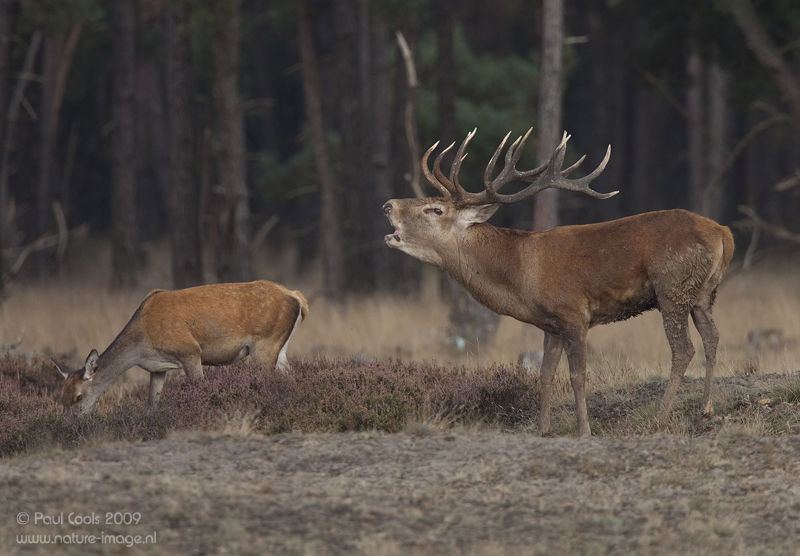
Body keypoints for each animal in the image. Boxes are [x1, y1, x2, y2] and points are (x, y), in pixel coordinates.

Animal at [50, 282, 306, 412]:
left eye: (79, 397)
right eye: (61, 396)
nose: (69, 424)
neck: (142, 344)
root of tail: (297, 296)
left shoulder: (190, 352)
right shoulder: (157, 368)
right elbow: (152, 402)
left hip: (265, 345)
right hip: (280, 348)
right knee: (292, 379)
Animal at [384, 128, 736, 436]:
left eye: (435, 209)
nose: (388, 205)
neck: (519, 275)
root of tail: (724, 233)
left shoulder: (573, 314)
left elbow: (578, 375)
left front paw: (584, 430)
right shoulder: (550, 323)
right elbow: (545, 374)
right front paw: (543, 429)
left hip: (672, 287)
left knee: (683, 348)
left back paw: (659, 418)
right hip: (703, 292)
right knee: (713, 336)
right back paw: (705, 409)